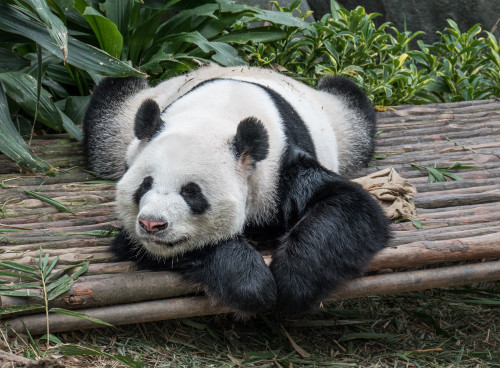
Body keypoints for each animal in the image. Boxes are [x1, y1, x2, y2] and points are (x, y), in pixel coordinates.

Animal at [83, 64, 390, 314]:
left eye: (191, 192)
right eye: (145, 184)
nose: (151, 224)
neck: (215, 115)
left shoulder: (278, 168)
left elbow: (350, 207)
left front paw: (293, 282)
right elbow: (179, 247)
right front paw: (251, 284)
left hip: (342, 123)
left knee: (348, 97)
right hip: (121, 124)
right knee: (111, 103)